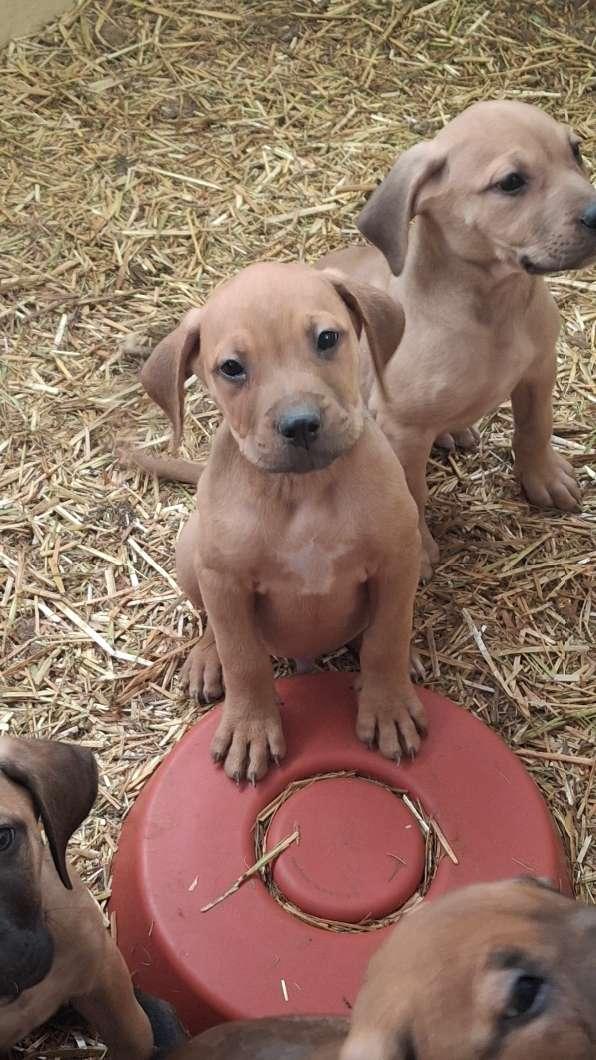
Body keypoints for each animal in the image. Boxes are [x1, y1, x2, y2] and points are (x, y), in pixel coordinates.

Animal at [132, 261, 424, 784]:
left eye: (327, 338)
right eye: (231, 368)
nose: (301, 424)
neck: (301, 491)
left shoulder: (398, 557)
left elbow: (387, 636)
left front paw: (388, 704)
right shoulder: (225, 580)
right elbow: (244, 659)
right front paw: (249, 728)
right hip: (192, 554)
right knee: (213, 626)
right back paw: (206, 659)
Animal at [320, 100, 593, 580]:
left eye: (576, 151)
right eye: (511, 182)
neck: (494, 308)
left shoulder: (539, 372)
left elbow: (534, 428)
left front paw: (544, 478)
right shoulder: (402, 429)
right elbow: (411, 494)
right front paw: (416, 550)